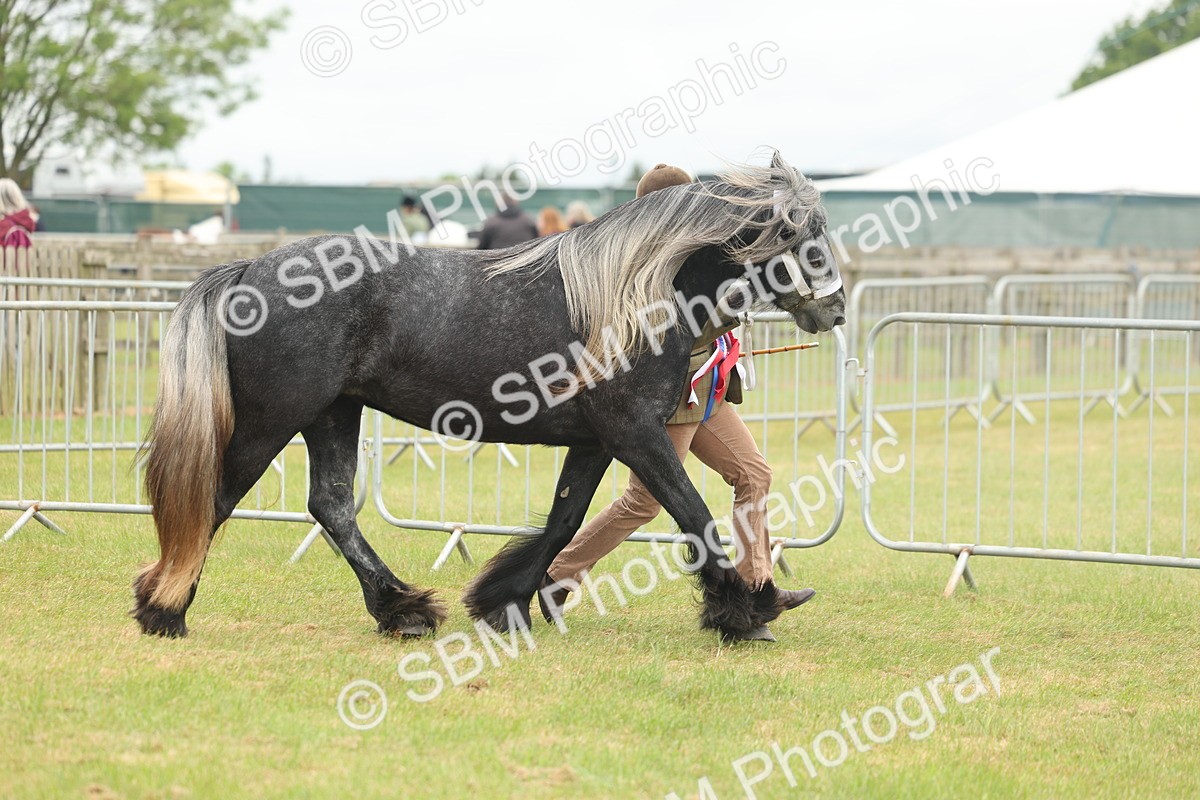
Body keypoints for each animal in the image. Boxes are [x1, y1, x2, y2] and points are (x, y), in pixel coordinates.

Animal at [131, 150, 846, 642]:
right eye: (797, 232)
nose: (835, 309)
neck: (632, 293)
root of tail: (249, 269)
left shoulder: (596, 441)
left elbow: (564, 521)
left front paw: (508, 602)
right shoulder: (637, 434)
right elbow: (693, 514)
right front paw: (746, 609)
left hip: (333, 413)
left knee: (331, 506)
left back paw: (403, 609)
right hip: (273, 419)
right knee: (216, 499)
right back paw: (165, 610)